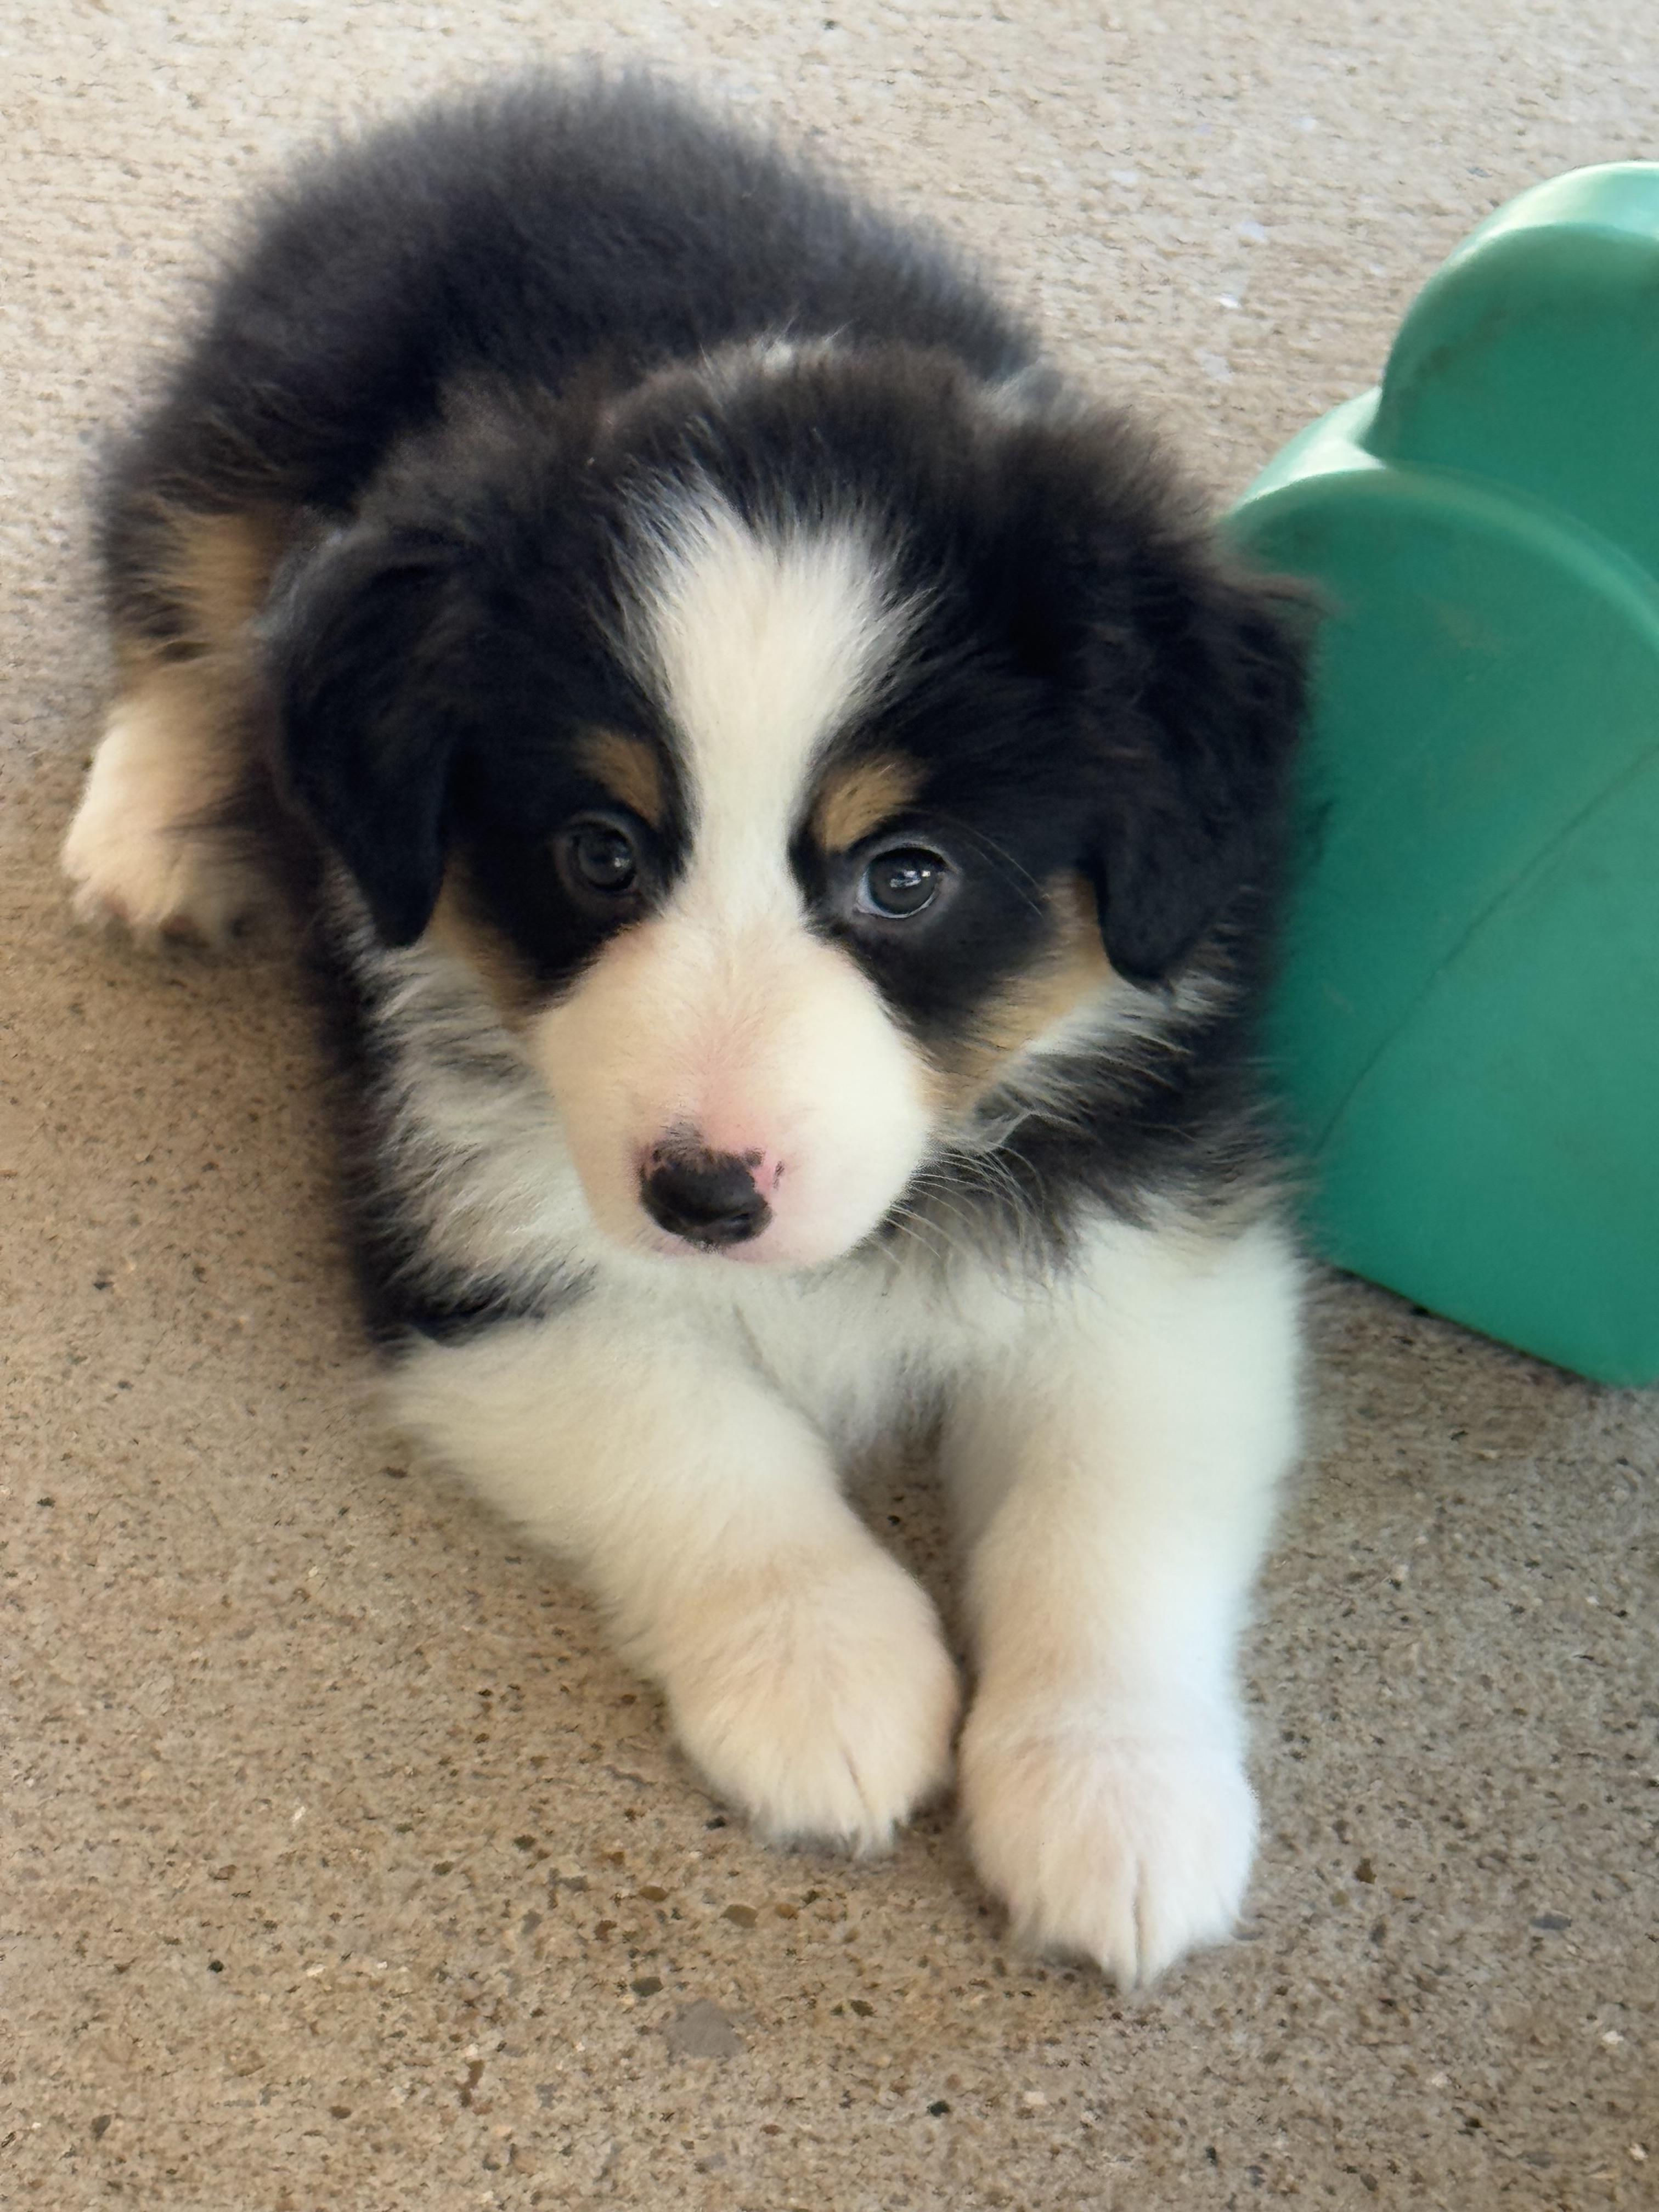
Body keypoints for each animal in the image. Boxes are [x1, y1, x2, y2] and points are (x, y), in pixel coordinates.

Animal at [63, 74, 1308, 1987]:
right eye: (600, 850)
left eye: (906, 874)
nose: (703, 1199)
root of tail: (516, 101)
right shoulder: (467, 1242)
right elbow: (697, 1437)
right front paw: (827, 1681)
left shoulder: (1169, 1228)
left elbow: (1112, 1508)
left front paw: (1119, 1804)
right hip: (260, 418)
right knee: (178, 592)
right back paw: (153, 832)